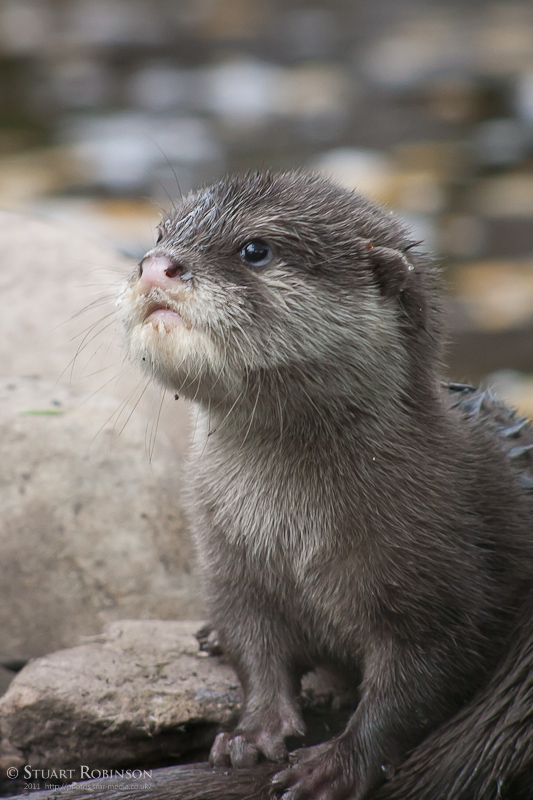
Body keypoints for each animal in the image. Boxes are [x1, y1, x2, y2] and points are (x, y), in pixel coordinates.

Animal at [117, 172, 533, 800]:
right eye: (162, 232)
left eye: (255, 249)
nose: (155, 265)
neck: (293, 535)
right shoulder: (228, 559)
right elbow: (253, 645)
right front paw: (253, 731)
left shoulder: (448, 585)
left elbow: (419, 684)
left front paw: (337, 764)